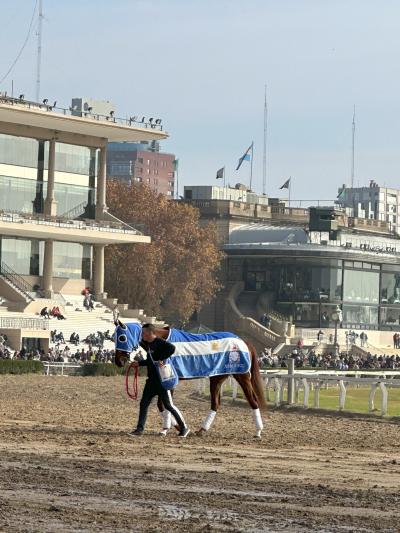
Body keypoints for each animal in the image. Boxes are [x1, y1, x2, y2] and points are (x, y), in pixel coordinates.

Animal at [114, 320, 268, 436]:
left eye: (122, 338)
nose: (118, 361)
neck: (162, 340)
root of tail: (243, 341)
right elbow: (162, 405)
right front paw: (175, 426)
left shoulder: (170, 383)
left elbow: (165, 405)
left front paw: (170, 428)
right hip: (217, 378)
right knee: (216, 403)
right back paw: (202, 429)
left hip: (242, 376)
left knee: (253, 400)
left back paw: (258, 431)